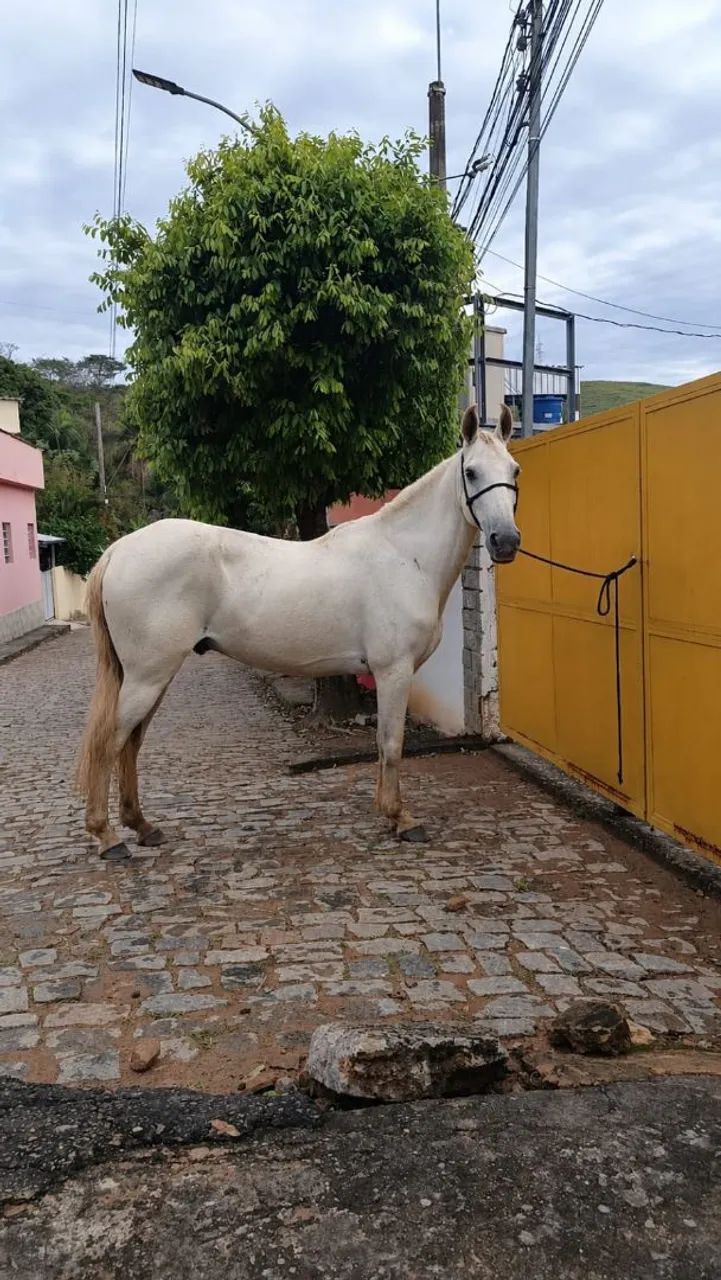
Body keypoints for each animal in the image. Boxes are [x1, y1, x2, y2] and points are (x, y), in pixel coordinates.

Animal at [76, 403, 520, 860]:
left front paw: (388, 812)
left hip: (152, 677)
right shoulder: (393, 672)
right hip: (147, 676)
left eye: (514, 470)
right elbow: (392, 745)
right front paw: (401, 819)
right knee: (109, 743)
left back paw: (142, 826)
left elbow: (384, 745)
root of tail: (118, 550)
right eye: (472, 472)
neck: (404, 555)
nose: (505, 541)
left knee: (130, 743)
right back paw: (108, 837)